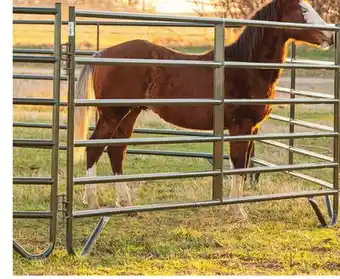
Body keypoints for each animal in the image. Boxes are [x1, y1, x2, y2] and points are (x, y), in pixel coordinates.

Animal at [73, 0, 332, 220]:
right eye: (303, 10)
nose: (329, 35)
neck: (245, 68)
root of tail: (103, 53)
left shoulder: (250, 129)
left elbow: (242, 166)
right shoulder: (241, 126)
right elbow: (239, 164)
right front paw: (237, 211)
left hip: (129, 114)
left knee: (116, 152)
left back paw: (127, 205)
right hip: (113, 114)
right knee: (94, 149)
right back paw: (92, 202)